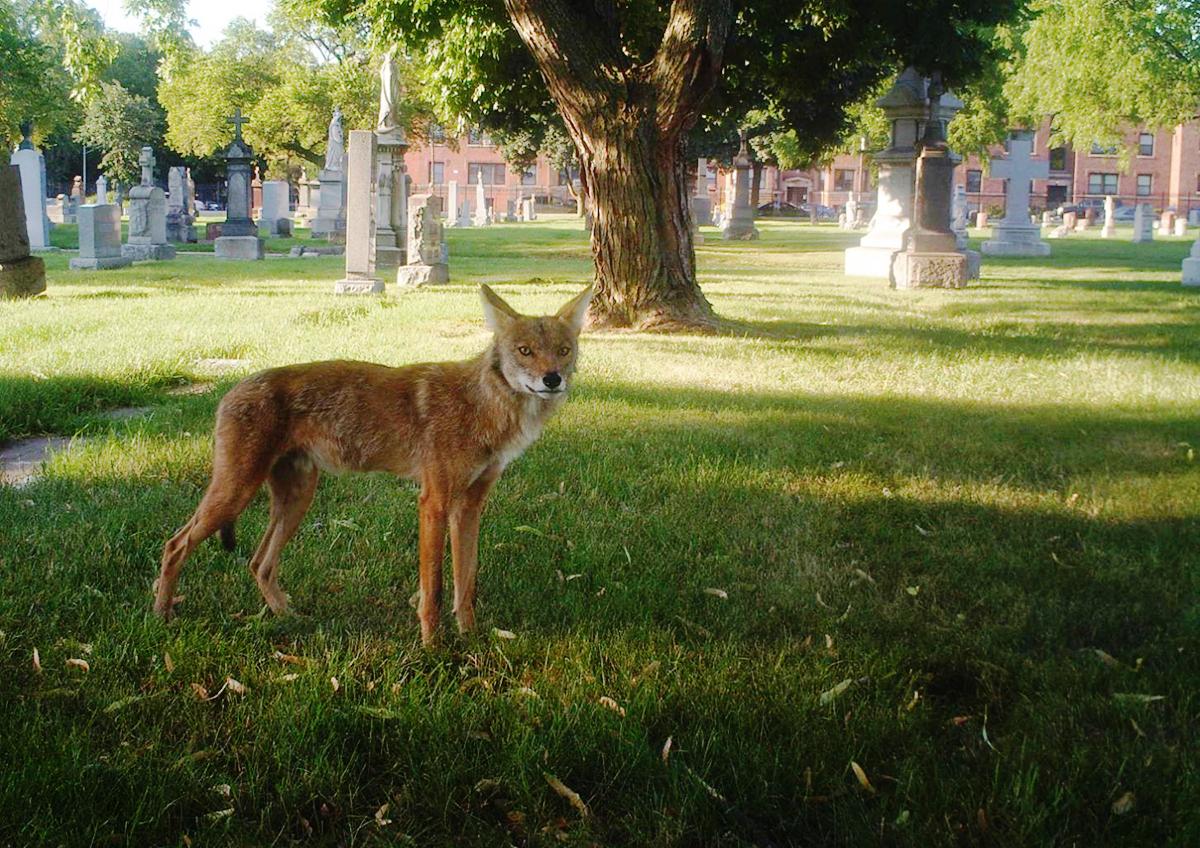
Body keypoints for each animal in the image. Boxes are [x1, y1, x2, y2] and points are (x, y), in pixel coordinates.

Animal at [153, 283, 593, 645]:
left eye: (564, 351)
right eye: (525, 351)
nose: (552, 379)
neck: (482, 407)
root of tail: (231, 390)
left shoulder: (469, 507)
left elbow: (465, 584)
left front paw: (470, 640)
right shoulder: (433, 503)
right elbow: (434, 589)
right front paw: (433, 650)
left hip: (296, 499)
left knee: (258, 563)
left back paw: (289, 618)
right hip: (236, 493)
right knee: (174, 546)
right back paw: (162, 618)